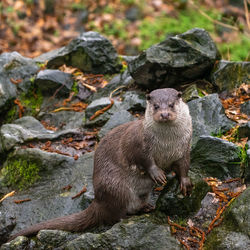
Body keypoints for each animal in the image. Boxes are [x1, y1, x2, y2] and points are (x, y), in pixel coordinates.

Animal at [7, 89, 191, 241]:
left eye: (172, 104)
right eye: (155, 106)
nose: (164, 114)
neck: (166, 144)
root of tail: (98, 200)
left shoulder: (184, 148)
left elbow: (183, 166)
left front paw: (185, 183)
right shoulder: (137, 142)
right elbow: (144, 160)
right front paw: (157, 173)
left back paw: (146, 207)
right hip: (116, 187)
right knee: (112, 215)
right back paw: (125, 218)